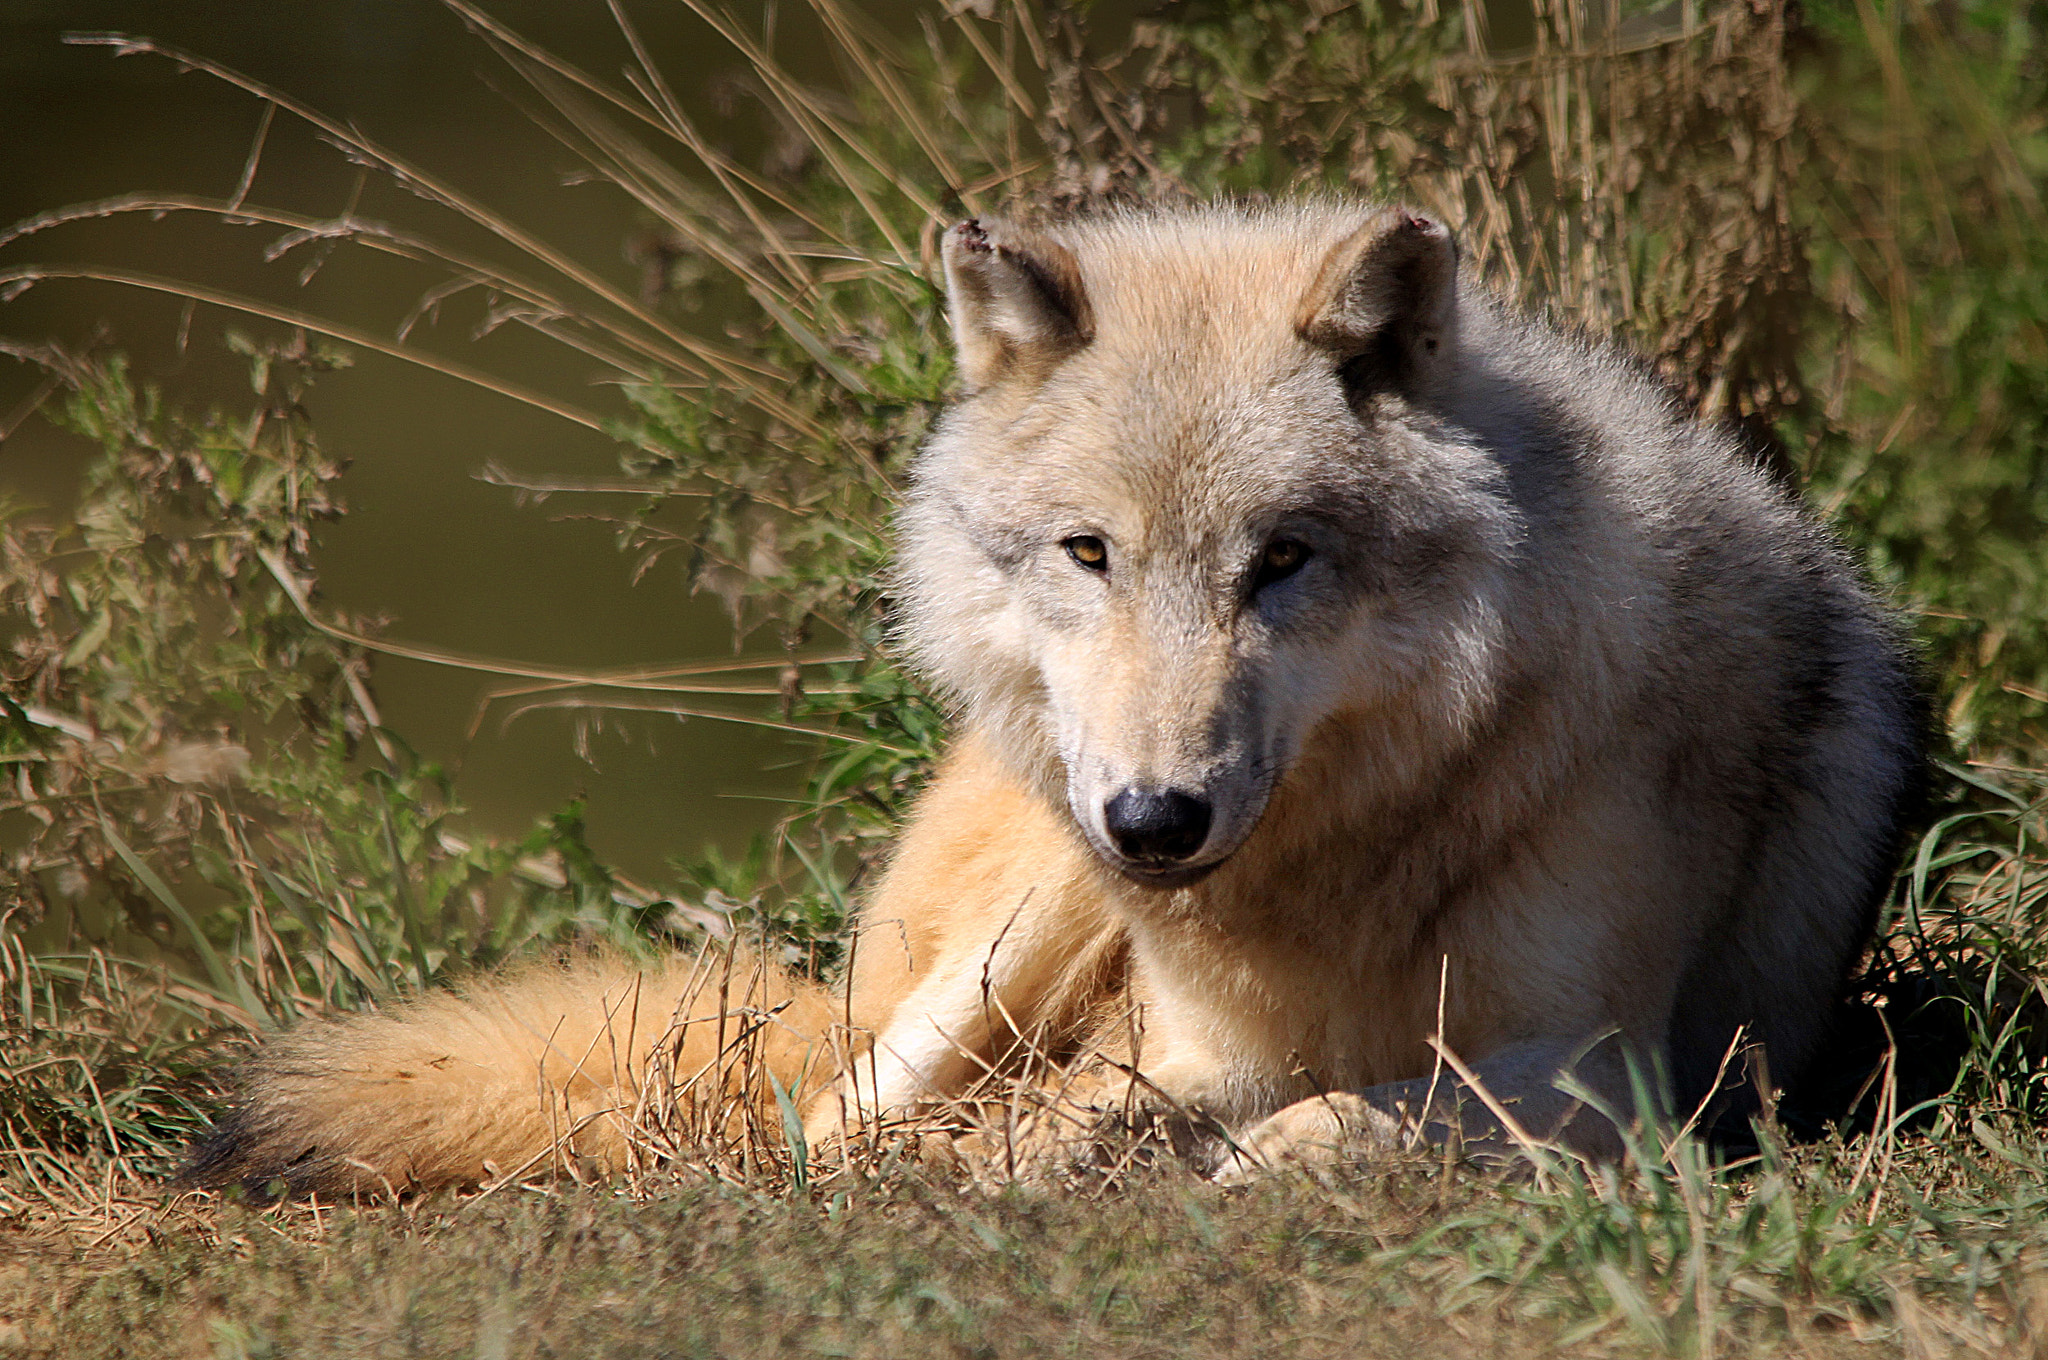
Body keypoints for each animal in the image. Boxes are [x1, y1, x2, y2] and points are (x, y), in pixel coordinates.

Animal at [186, 200, 1925, 1197]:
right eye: (1091, 551)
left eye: (1282, 562)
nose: (1155, 820)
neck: (1346, 871)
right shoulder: (1185, 1034)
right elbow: (1089, 1119)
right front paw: (1056, 1169)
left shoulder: (1617, 1082)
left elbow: (1329, 1124)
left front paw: (1235, 1165)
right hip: (1019, 924)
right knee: (820, 1125)